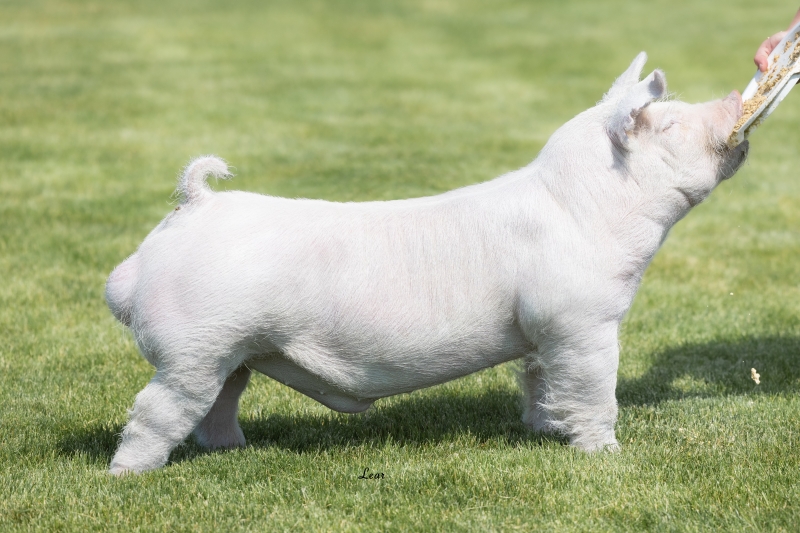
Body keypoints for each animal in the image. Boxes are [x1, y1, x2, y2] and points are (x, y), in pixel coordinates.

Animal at [104, 53, 748, 474]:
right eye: (669, 122)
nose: (733, 101)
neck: (587, 209)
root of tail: (196, 205)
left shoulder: (542, 332)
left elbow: (540, 382)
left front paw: (543, 432)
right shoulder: (581, 321)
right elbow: (592, 389)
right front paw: (606, 457)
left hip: (232, 350)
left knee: (219, 403)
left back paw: (232, 451)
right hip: (196, 345)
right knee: (156, 410)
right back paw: (129, 475)